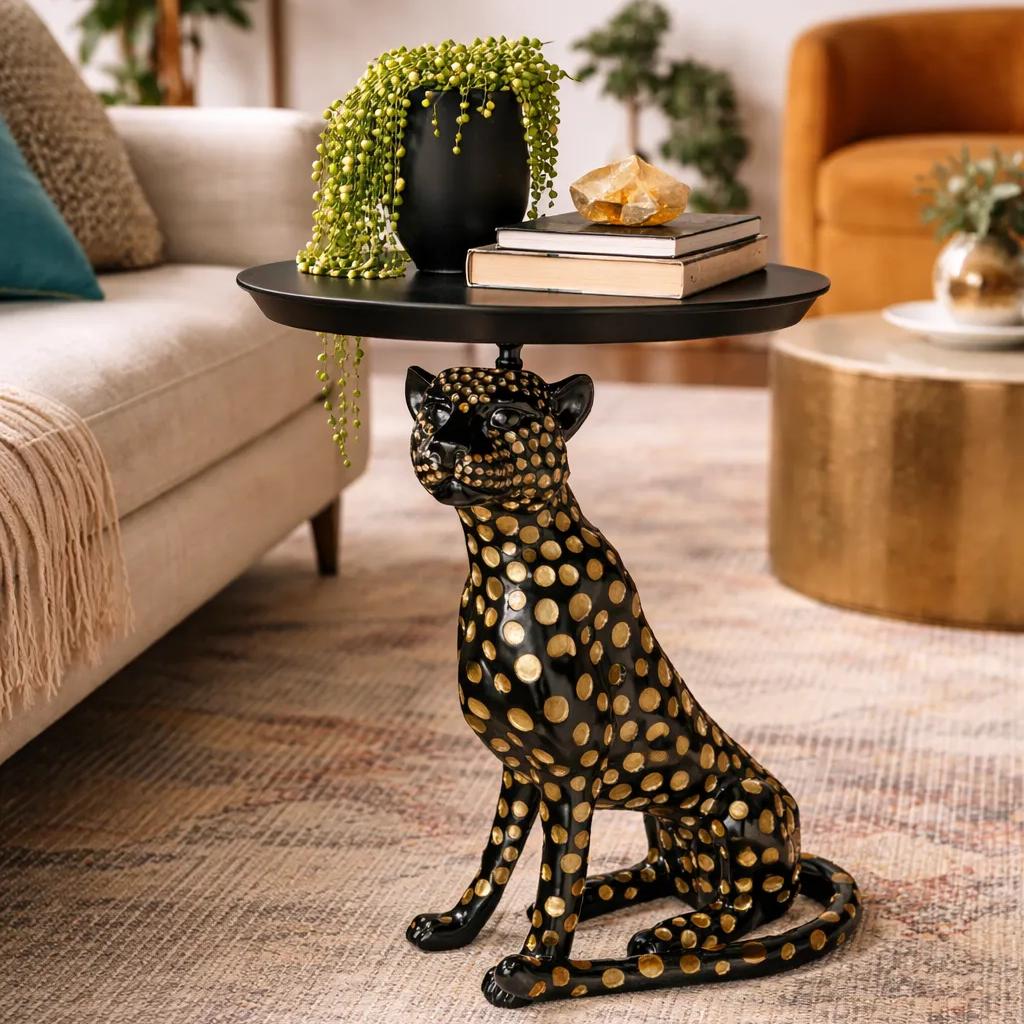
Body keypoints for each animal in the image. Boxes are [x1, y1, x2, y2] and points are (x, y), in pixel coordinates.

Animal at [403, 363, 861, 1007]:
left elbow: (555, 884)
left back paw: (676, 932)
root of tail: (794, 857)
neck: (501, 565)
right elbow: (496, 862)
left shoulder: (567, 783)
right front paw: (455, 925)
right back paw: (612, 894)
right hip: (660, 817)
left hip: (745, 805)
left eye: (503, 415)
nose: (444, 447)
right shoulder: (520, 771)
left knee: (750, 908)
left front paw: (535, 971)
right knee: (660, 872)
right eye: (437, 409)